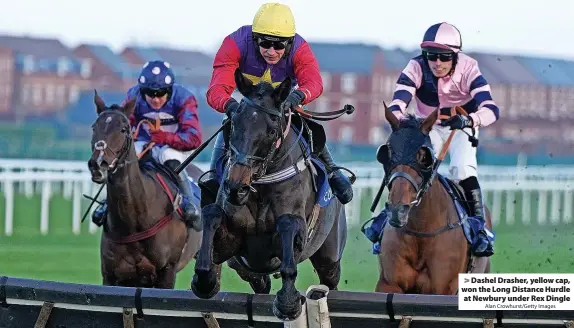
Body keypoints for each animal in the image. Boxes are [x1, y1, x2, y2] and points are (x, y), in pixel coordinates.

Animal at [191, 69, 348, 320]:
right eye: (233, 126)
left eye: (272, 131)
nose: (236, 187)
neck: (260, 187)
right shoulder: (231, 242)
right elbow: (212, 214)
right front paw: (205, 278)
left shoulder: (292, 234)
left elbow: (287, 228)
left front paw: (288, 301)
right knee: (257, 279)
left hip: (330, 257)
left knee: (329, 280)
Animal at [376, 107, 492, 294]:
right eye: (387, 153)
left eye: (424, 157)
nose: (397, 211)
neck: (420, 231)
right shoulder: (389, 284)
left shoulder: (443, 288)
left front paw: (460, 121)